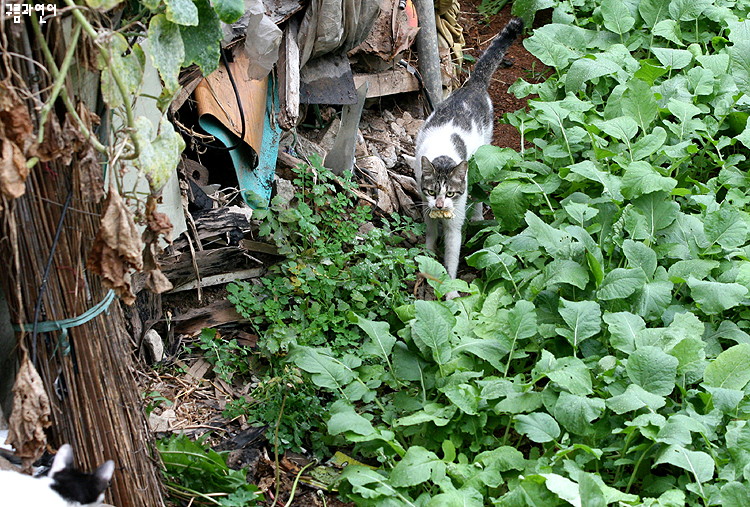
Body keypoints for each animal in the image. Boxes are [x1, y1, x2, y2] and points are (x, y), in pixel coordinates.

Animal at [408, 18, 524, 298]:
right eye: (432, 191)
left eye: (450, 193)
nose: (440, 205)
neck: (443, 154)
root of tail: (472, 85)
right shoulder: (425, 204)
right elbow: (430, 234)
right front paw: (428, 256)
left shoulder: (454, 222)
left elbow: (451, 258)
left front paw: (451, 293)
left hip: (484, 154)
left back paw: (478, 218)